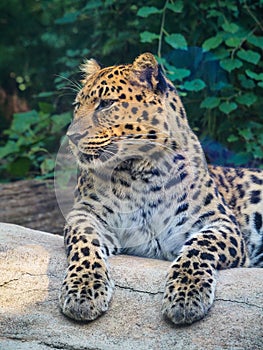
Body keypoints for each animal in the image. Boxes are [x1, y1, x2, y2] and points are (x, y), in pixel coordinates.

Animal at [58, 52, 262, 326]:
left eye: (106, 104)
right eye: (77, 105)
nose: (72, 137)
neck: (142, 174)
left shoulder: (221, 223)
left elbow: (200, 246)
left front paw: (187, 295)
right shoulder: (86, 214)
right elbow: (85, 244)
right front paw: (83, 289)